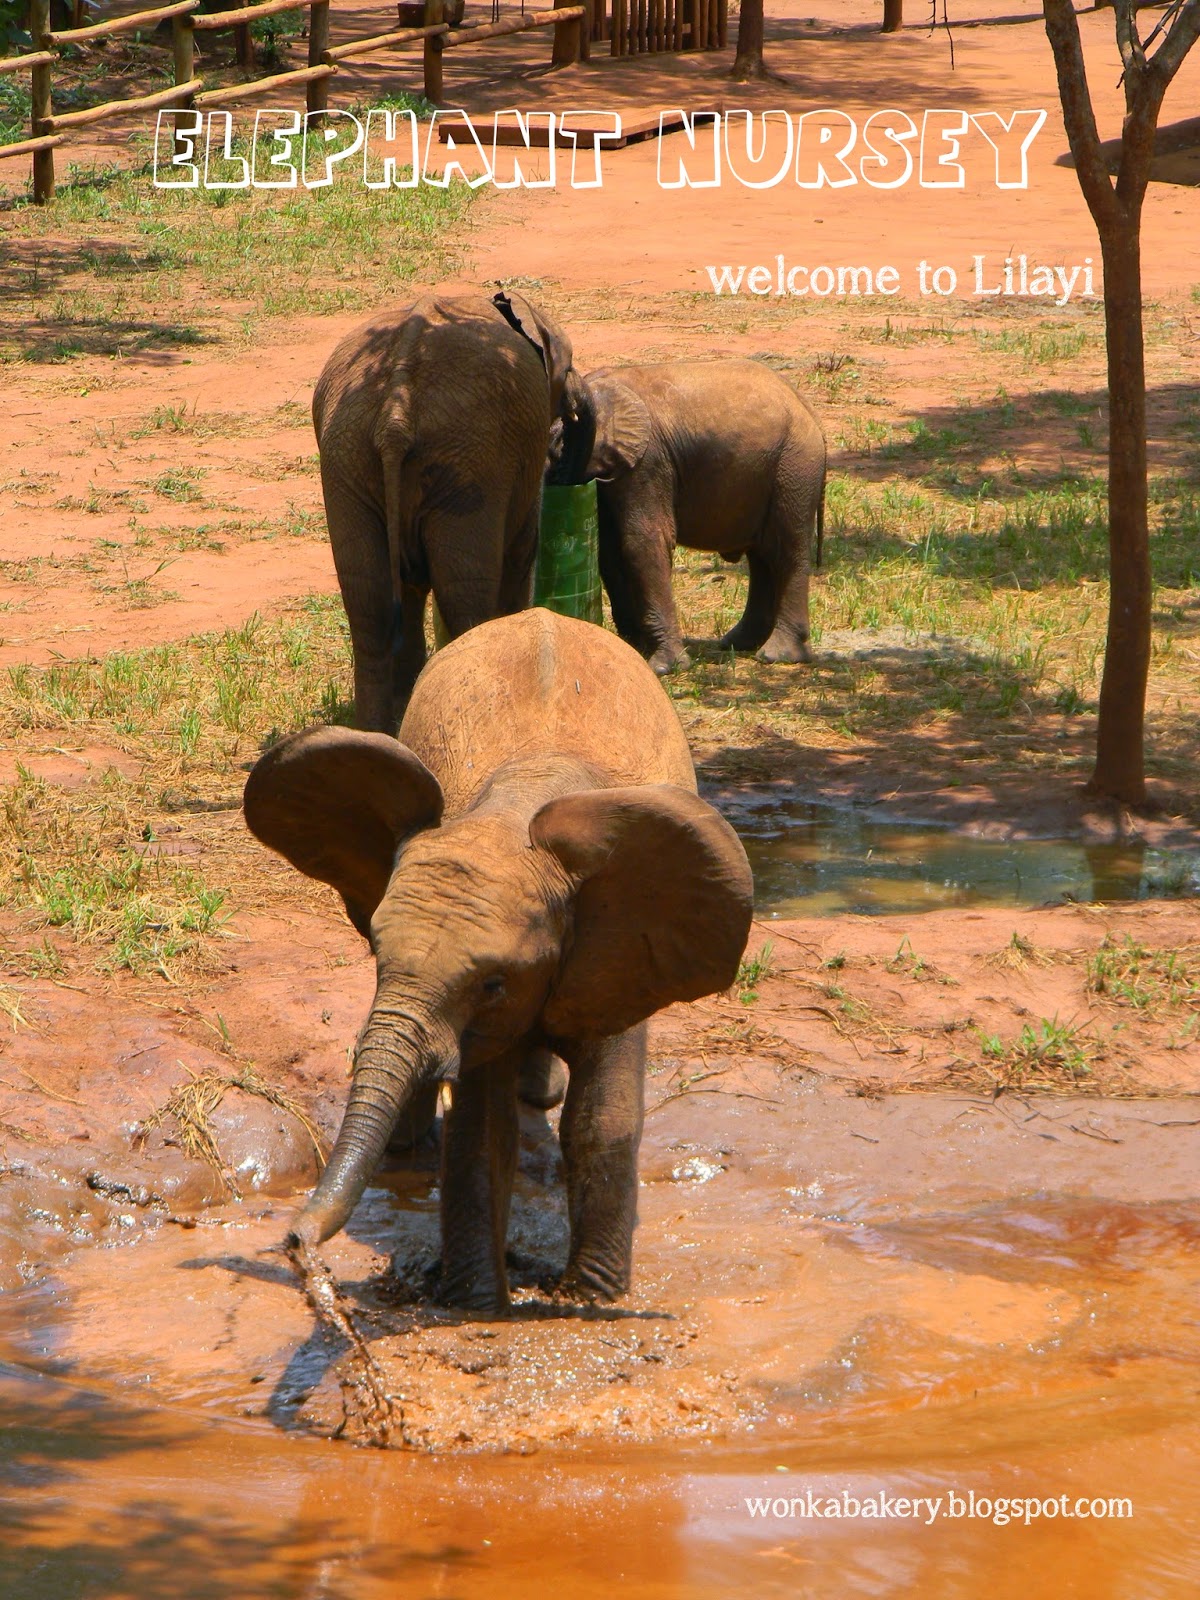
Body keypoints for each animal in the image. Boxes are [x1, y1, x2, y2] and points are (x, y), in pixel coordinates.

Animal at [243, 608, 752, 1312]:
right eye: (377, 952)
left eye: (492, 983)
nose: (295, 1243)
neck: (515, 810)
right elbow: (481, 1130)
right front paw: (478, 1303)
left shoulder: (621, 946)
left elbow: (603, 1119)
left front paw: (590, 1304)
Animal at [310, 291, 592, 732]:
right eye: (568, 365)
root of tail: (395, 413)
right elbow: (520, 553)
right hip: (468, 464)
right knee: (464, 592)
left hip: (347, 458)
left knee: (368, 600)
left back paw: (377, 734)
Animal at [553, 360, 825, 678]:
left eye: (557, 441)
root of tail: (807, 408)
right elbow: (609, 550)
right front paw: (633, 648)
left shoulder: (648, 462)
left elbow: (643, 542)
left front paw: (663, 667)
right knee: (762, 557)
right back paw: (738, 643)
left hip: (795, 466)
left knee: (784, 551)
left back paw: (776, 655)